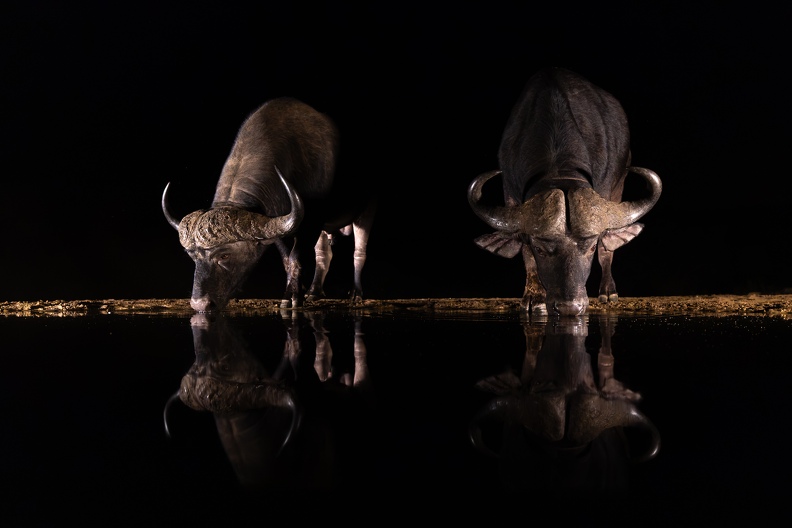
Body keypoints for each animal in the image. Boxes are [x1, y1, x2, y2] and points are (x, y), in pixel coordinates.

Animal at [162, 97, 376, 312]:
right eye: (192, 256)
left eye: (224, 256)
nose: (199, 304)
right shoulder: (280, 228)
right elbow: (287, 260)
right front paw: (293, 293)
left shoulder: (312, 222)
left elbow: (296, 258)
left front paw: (292, 298)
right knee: (323, 254)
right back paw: (314, 292)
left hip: (366, 212)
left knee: (359, 252)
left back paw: (356, 293)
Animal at [468, 68, 662, 315]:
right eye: (540, 249)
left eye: (590, 247)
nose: (570, 307)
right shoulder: (510, 194)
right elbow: (525, 254)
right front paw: (534, 297)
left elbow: (605, 246)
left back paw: (608, 291)